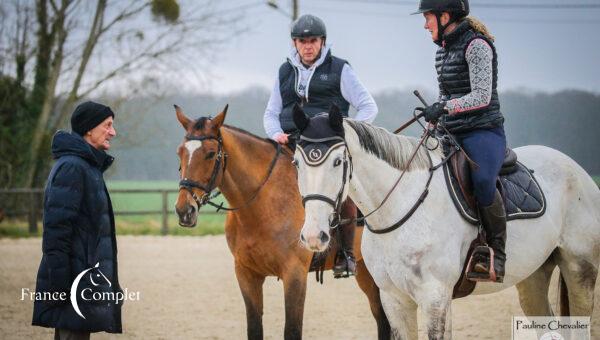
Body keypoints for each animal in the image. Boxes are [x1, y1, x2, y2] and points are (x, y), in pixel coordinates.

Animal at [171, 105, 392, 338]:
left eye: (211, 154)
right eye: (180, 152)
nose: (184, 210)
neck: (262, 203)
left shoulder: (294, 275)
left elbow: (292, 330)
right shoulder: (246, 274)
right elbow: (254, 328)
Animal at [292, 105, 600, 338]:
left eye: (337, 161)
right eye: (296, 162)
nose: (313, 236)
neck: (401, 207)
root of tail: (577, 170)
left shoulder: (435, 297)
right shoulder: (395, 300)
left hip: (579, 268)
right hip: (532, 276)